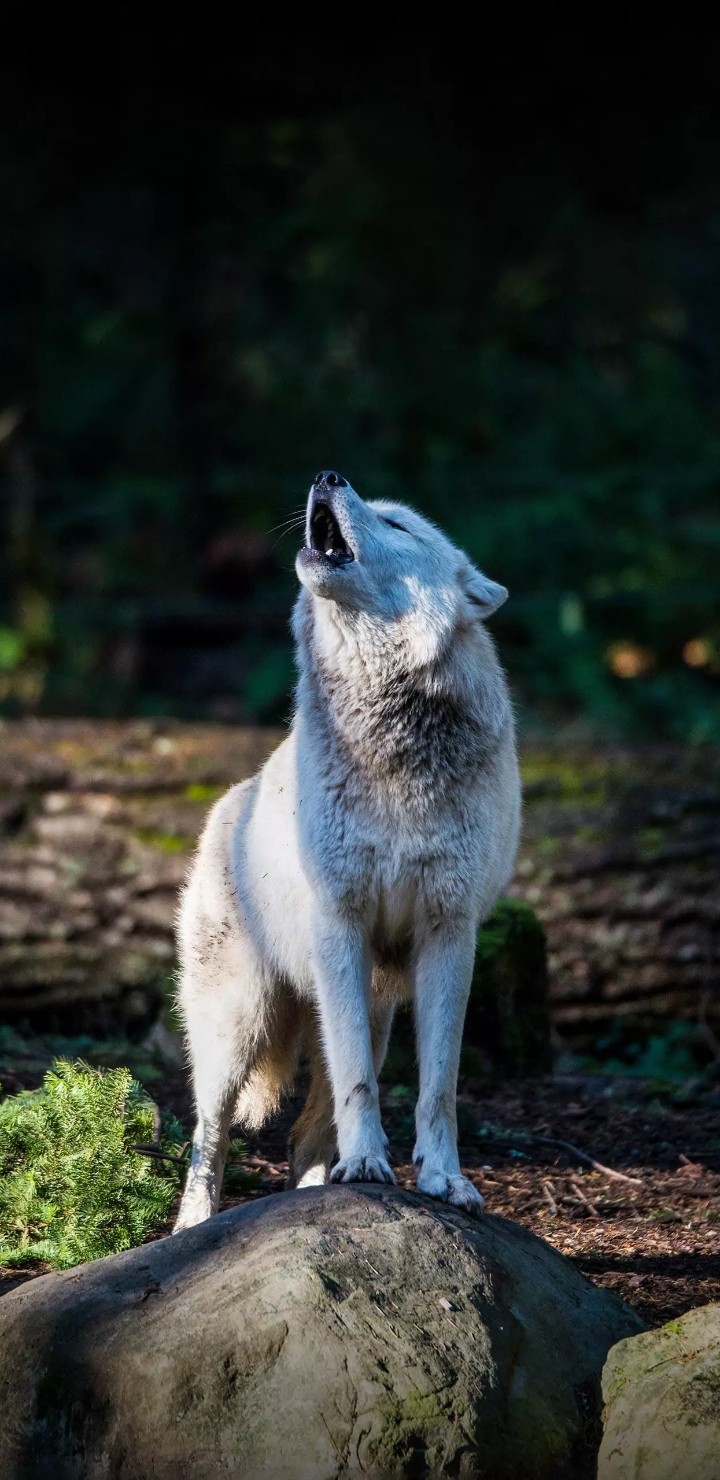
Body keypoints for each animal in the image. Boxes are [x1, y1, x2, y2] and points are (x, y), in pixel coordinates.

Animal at [173, 471, 521, 1232]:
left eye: (396, 524)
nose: (327, 477)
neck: (389, 754)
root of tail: (229, 800)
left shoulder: (449, 934)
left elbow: (439, 1088)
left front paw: (443, 1180)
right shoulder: (340, 924)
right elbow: (361, 1083)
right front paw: (367, 1165)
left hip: (372, 1008)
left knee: (305, 1136)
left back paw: (313, 1200)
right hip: (239, 1023)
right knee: (209, 1135)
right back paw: (194, 1228)